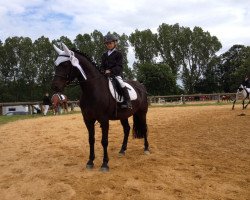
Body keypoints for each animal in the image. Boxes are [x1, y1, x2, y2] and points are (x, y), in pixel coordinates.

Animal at [50, 43, 148, 171]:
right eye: (56, 64)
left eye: (65, 64)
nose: (55, 87)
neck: (92, 90)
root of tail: (141, 86)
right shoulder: (88, 120)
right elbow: (91, 140)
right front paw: (90, 161)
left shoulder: (104, 119)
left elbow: (104, 141)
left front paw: (105, 164)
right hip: (123, 115)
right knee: (126, 129)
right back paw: (122, 150)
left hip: (142, 113)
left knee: (144, 128)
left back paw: (146, 149)